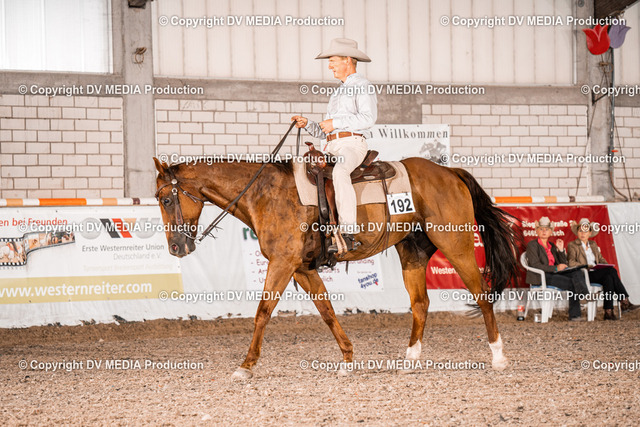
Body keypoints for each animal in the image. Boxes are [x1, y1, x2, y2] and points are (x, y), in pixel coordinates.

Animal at [153, 151, 520, 380]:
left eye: (166, 198)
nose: (175, 247)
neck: (265, 193)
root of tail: (449, 172)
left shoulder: (282, 263)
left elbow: (262, 312)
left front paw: (246, 365)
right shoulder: (302, 268)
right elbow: (327, 310)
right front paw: (347, 358)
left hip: (455, 244)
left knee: (482, 293)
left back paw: (499, 356)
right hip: (413, 252)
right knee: (420, 304)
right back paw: (410, 360)